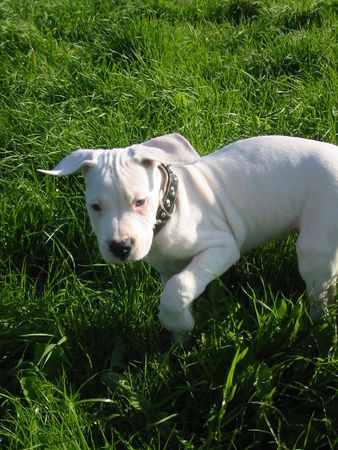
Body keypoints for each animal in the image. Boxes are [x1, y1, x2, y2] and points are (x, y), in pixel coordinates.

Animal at [40, 134, 338, 338]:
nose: (120, 247)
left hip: (314, 245)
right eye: (95, 207)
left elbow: (177, 288)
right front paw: (178, 338)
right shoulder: (167, 267)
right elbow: (176, 287)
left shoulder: (221, 247)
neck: (169, 210)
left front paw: (179, 322)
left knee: (319, 289)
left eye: (140, 202)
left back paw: (317, 323)